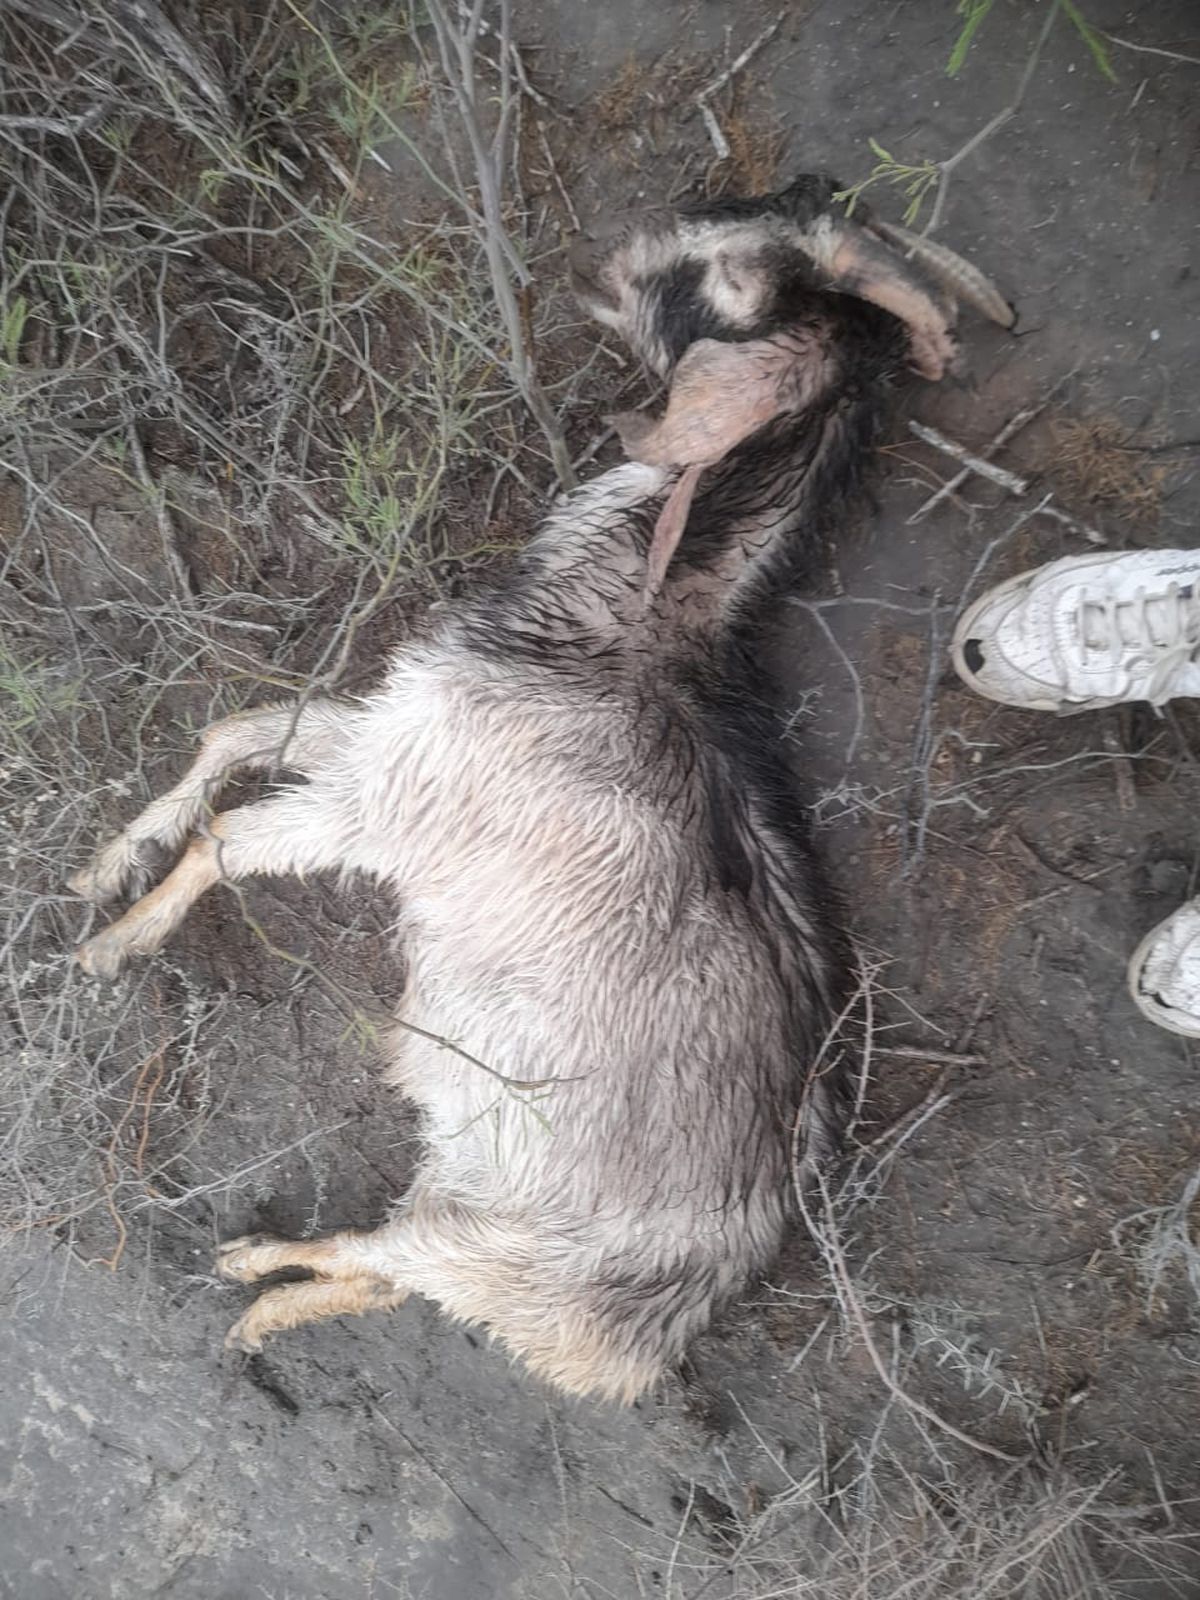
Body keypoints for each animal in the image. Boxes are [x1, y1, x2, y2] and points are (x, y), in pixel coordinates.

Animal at [69, 175, 1010, 1401]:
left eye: (728, 271)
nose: (605, 250)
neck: (631, 618)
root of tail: (649, 1339)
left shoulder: (388, 801)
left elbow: (228, 840)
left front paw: (113, 946)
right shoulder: (390, 733)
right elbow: (233, 736)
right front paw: (103, 865)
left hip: (500, 1240)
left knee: (390, 1264)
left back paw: (253, 1283)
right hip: (476, 1197)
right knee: (389, 1274)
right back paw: (258, 1293)